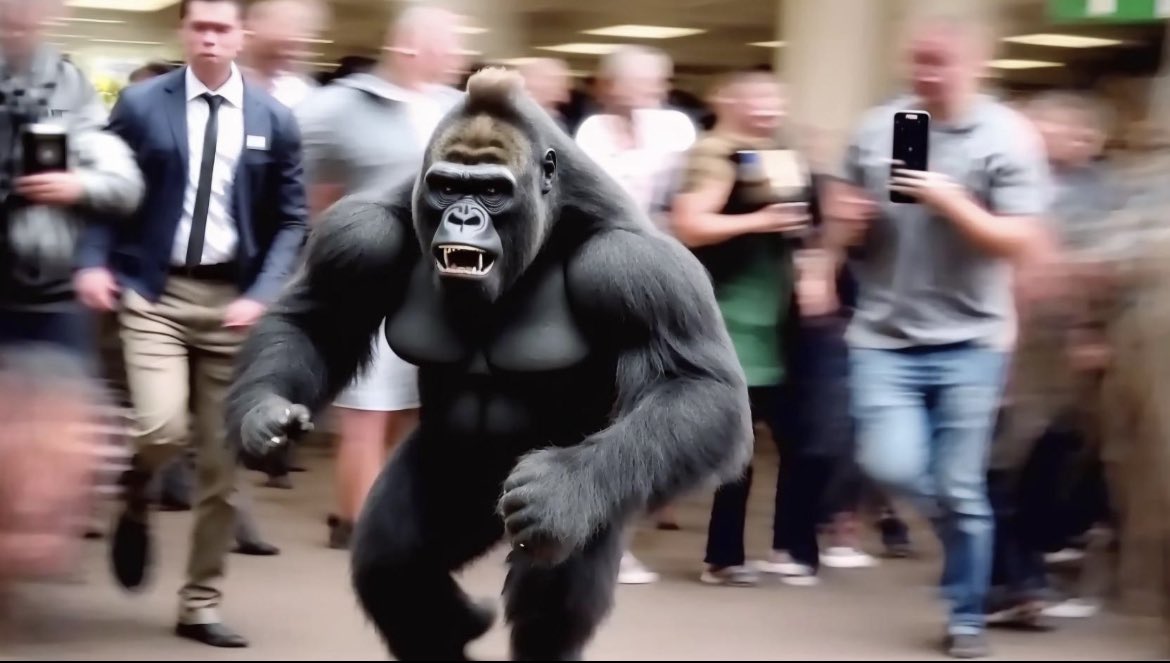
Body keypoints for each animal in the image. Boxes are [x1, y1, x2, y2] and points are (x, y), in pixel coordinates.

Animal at [225, 67, 753, 661]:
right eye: (449, 186)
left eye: (493, 191)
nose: (463, 216)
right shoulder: (359, 235)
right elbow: (314, 322)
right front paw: (264, 418)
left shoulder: (634, 262)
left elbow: (694, 385)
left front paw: (562, 489)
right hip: (462, 488)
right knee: (393, 565)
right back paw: (458, 620)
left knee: (554, 579)